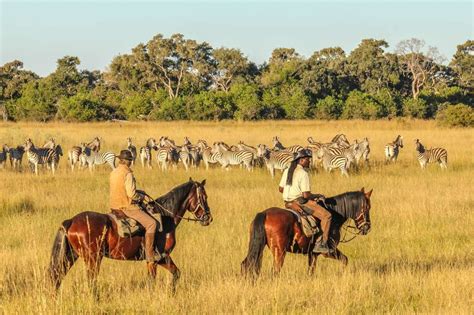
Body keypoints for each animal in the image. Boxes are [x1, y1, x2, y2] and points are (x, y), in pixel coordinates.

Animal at [48, 179, 211, 292]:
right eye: (204, 196)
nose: (208, 218)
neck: (165, 217)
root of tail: (71, 221)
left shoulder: (162, 258)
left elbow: (176, 273)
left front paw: (172, 292)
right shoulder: (157, 258)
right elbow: (153, 280)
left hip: (71, 256)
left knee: (58, 276)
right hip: (93, 259)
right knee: (90, 281)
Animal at [243, 189, 372, 278]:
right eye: (367, 208)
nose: (367, 228)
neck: (334, 215)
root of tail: (265, 213)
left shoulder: (312, 253)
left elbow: (311, 271)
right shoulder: (329, 251)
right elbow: (345, 260)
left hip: (260, 248)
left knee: (248, 264)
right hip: (279, 252)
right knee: (275, 271)